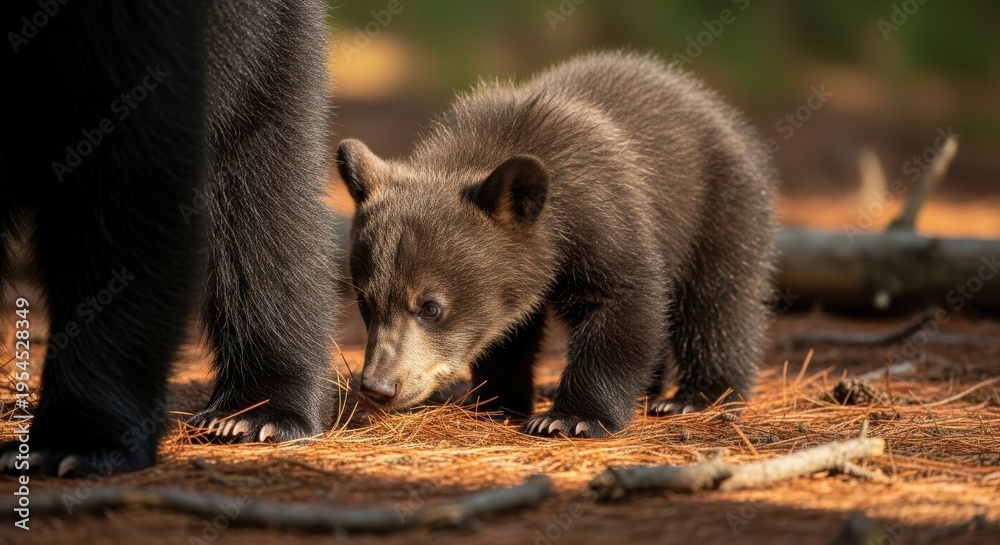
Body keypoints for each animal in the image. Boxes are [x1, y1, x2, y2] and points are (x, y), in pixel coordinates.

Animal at [337, 51, 776, 437]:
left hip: (716, 205)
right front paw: (498, 401)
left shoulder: (605, 214)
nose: (378, 387)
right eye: (366, 302)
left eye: (430, 307)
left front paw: (570, 417)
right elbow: (509, 334)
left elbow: (625, 300)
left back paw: (696, 396)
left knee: (718, 300)